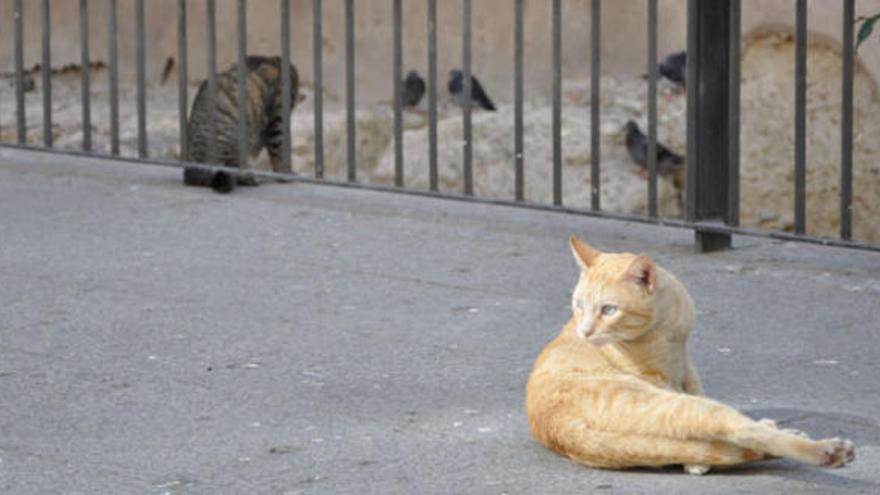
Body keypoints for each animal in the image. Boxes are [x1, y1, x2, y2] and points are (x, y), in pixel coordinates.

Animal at [524, 238, 856, 474]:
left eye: (608, 310)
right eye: (579, 305)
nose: (585, 332)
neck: (664, 327)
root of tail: (560, 427)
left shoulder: (686, 363)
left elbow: (696, 388)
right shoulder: (662, 380)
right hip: (674, 405)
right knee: (738, 432)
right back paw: (826, 451)